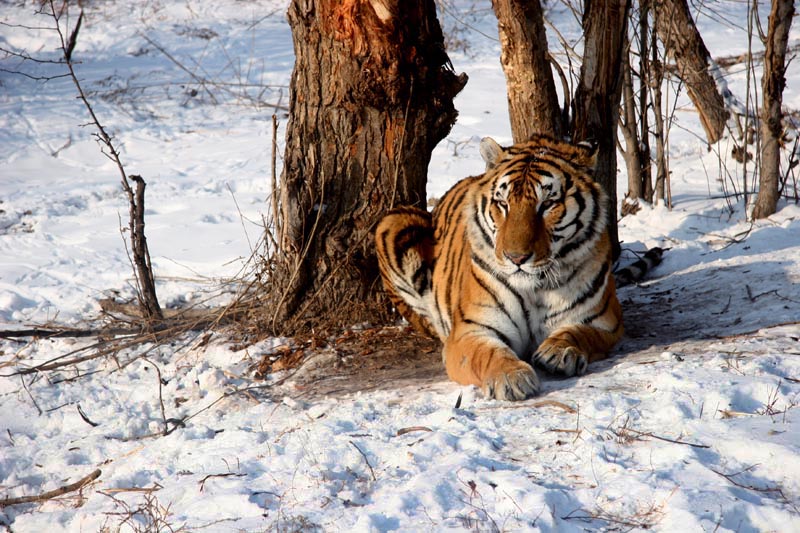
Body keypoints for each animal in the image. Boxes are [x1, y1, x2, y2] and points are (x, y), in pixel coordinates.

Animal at [376, 133, 624, 400]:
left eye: (548, 204)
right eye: (503, 204)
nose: (516, 258)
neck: (536, 289)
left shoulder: (605, 321)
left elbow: (578, 332)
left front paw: (560, 351)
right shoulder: (472, 330)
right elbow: (487, 354)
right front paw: (511, 377)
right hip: (394, 221)